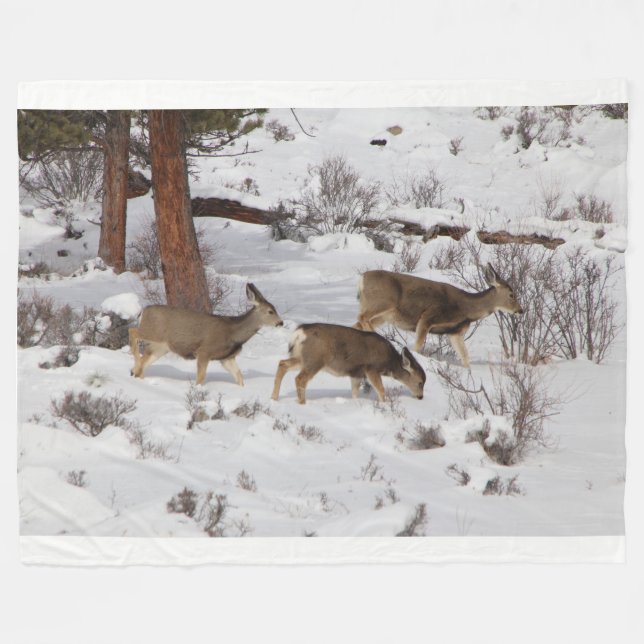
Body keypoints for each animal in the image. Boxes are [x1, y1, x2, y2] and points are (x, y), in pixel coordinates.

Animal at [129, 283, 283, 386]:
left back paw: (136, 373)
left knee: (145, 359)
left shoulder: (227, 357)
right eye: (270, 311)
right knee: (132, 331)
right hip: (151, 332)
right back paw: (136, 367)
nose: (281, 323)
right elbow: (201, 378)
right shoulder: (204, 351)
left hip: (160, 347)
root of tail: (143, 311)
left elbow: (239, 376)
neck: (233, 333)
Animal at [271, 323, 426, 404]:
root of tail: (298, 334)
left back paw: (274, 398)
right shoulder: (371, 368)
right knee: (300, 378)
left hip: (301, 358)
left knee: (282, 364)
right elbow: (381, 389)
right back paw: (302, 403)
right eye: (420, 382)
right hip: (314, 360)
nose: (420, 397)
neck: (389, 362)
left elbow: (355, 393)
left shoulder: (356, 373)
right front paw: (385, 404)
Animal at [354, 265, 523, 368]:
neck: (466, 309)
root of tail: (361, 279)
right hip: (381, 302)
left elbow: (465, 356)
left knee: (357, 324)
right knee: (363, 318)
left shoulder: (455, 332)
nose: (521, 310)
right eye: (511, 294)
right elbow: (418, 346)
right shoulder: (428, 316)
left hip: (382, 314)